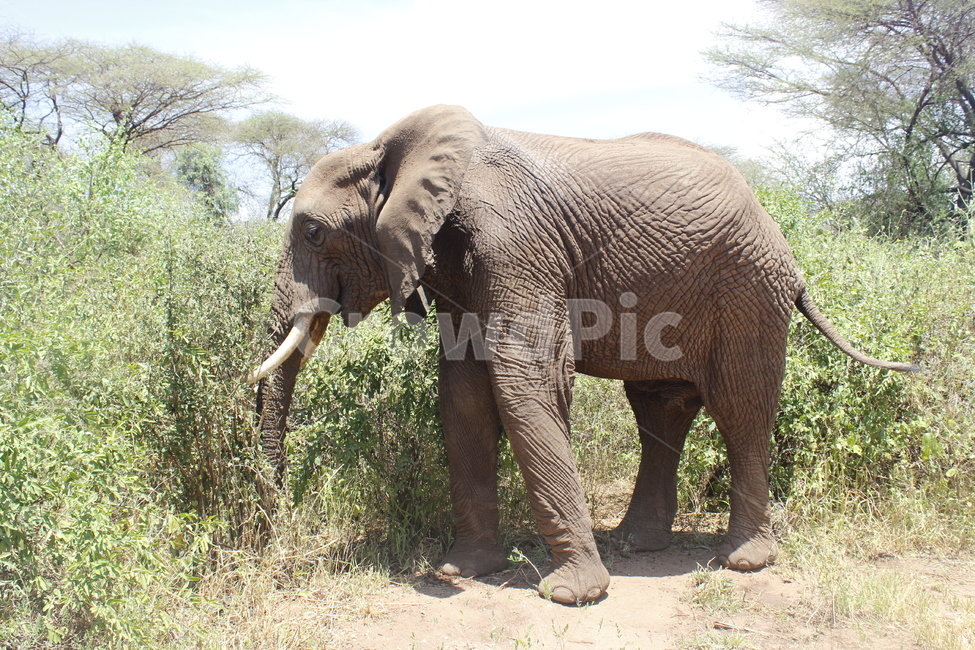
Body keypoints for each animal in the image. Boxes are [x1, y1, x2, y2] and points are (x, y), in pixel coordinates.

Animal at [246, 105, 917, 605]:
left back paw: (742, 561)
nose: (273, 535)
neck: (392, 148)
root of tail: (786, 250)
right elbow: (463, 394)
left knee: (741, 410)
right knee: (659, 409)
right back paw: (636, 546)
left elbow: (526, 381)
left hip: (748, 291)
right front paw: (464, 572)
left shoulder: (515, 242)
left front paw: (570, 596)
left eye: (311, 232)